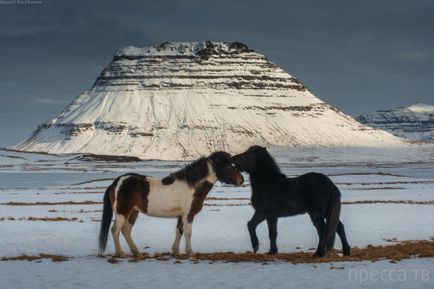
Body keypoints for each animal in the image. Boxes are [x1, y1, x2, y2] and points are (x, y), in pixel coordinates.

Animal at [99, 151, 246, 256]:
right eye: (228, 166)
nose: (241, 180)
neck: (192, 186)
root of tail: (116, 182)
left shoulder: (181, 215)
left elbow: (179, 232)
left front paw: (176, 251)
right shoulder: (188, 215)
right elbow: (188, 233)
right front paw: (190, 252)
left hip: (133, 212)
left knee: (126, 231)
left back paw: (136, 252)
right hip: (122, 212)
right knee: (115, 230)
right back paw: (120, 253)